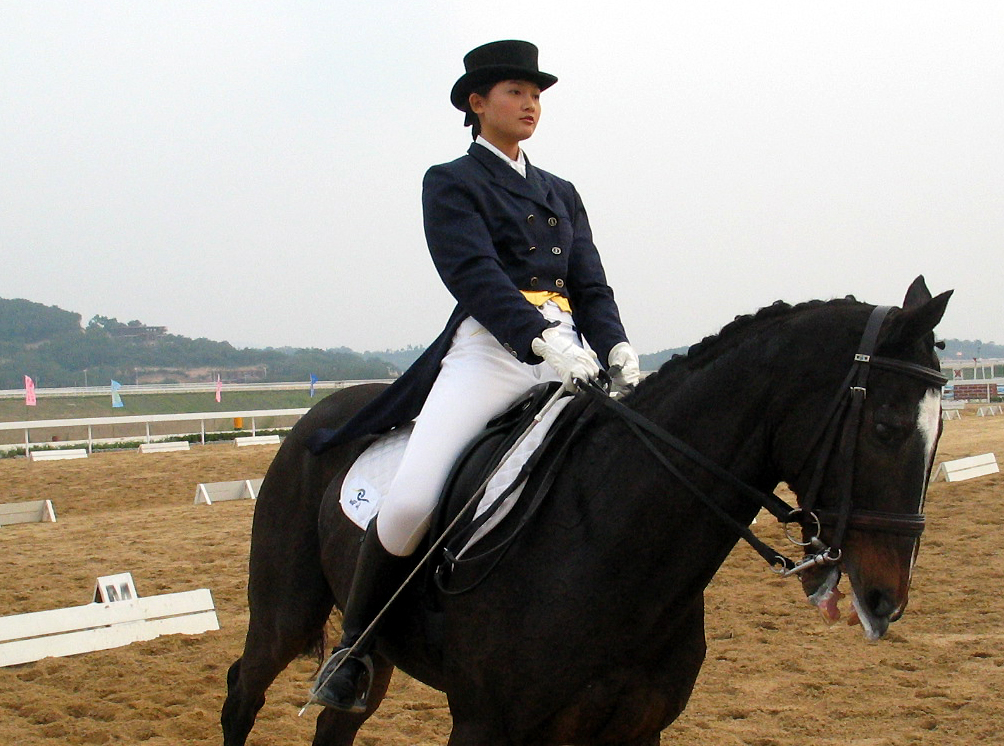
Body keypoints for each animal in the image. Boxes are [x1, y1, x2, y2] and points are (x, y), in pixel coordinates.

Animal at [223, 279, 951, 746]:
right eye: (886, 428)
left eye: (938, 429)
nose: (887, 601)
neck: (608, 543)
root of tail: (318, 414)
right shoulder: (485, 726)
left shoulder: (636, 729)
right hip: (285, 612)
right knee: (242, 693)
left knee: (336, 721)